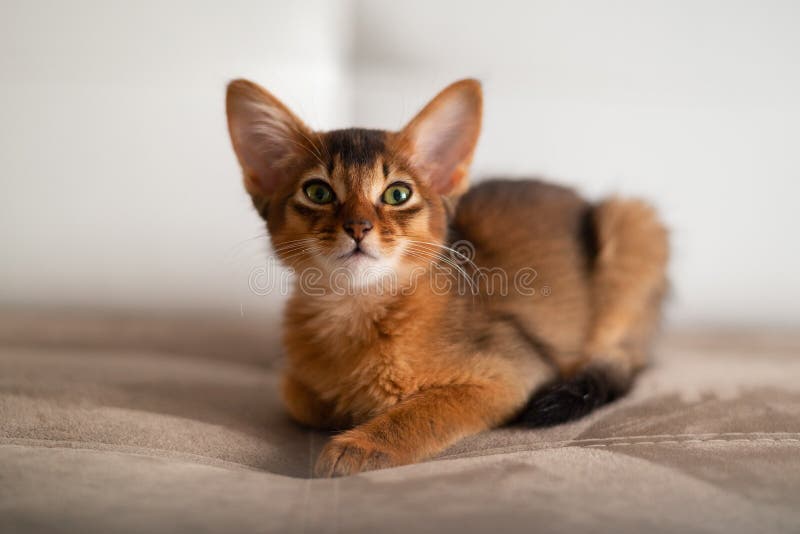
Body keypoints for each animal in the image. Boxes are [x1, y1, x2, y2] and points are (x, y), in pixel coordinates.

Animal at [223, 78, 668, 478]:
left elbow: (425, 409)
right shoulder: (297, 382)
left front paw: (360, 444)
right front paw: (346, 409)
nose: (358, 227)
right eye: (318, 192)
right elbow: (299, 398)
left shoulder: (511, 372)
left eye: (397, 194)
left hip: (632, 222)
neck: (355, 312)